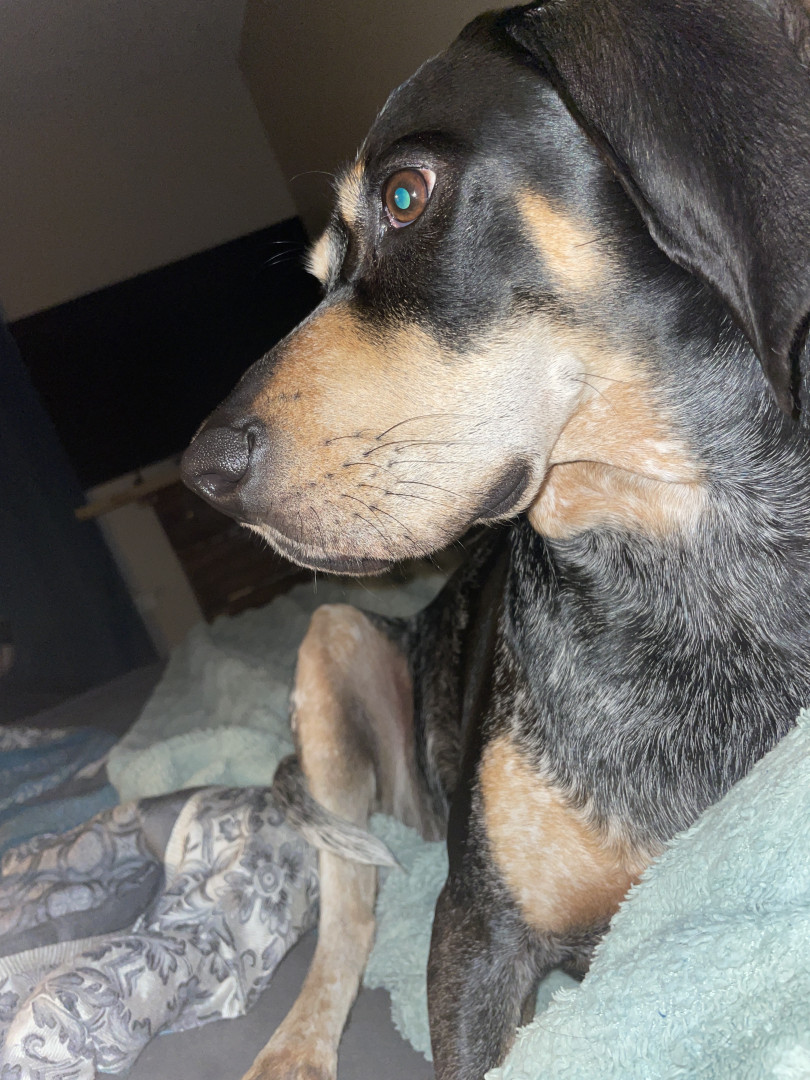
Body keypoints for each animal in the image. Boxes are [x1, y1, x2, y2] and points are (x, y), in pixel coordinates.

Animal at [181, 1, 810, 1076]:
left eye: (404, 195)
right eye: (318, 273)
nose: (200, 472)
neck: (691, 555)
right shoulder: (476, 930)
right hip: (337, 648)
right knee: (349, 906)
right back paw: (296, 1045)